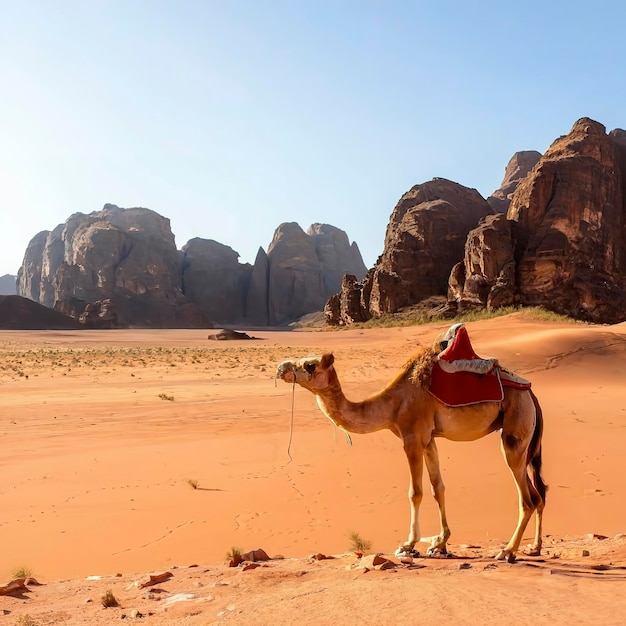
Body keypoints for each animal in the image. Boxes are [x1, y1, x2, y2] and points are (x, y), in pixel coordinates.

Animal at [276, 322, 544, 560]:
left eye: (310, 365)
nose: (281, 368)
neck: (393, 405)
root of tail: (531, 393)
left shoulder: (412, 437)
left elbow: (415, 492)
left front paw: (408, 545)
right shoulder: (429, 440)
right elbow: (438, 488)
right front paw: (440, 543)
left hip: (515, 428)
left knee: (527, 499)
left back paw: (508, 551)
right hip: (524, 439)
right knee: (538, 494)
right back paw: (534, 548)